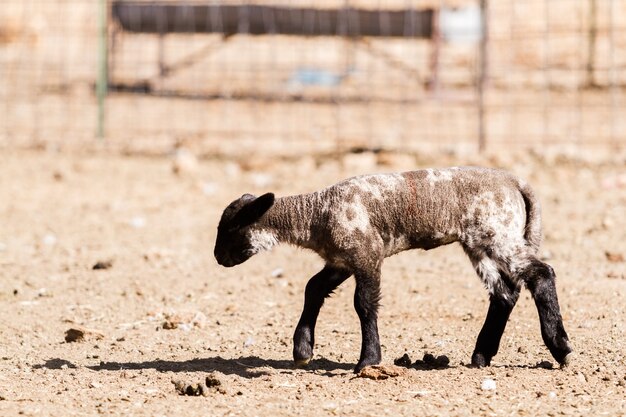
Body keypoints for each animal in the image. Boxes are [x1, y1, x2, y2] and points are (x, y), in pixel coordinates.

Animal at [213, 166, 572, 370]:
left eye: (231, 228)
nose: (218, 258)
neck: (315, 214)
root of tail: (517, 183)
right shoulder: (342, 259)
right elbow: (313, 288)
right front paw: (302, 351)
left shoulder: (367, 254)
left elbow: (363, 304)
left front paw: (368, 360)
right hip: (481, 243)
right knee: (504, 293)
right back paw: (482, 356)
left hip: (497, 232)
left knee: (542, 274)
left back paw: (561, 348)